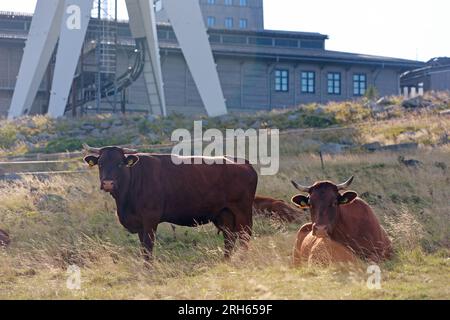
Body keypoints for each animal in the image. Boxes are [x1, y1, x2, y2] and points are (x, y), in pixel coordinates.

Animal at [83, 145, 256, 260]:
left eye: (120, 164)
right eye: (100, 164)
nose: (108, 183)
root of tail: (243, 162)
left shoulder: (150, 219)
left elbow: (148, 247)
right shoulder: (139, 224)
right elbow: (142, 247)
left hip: (242, 211)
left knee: (244, 236)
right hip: (224, 213)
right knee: (229, 238)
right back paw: (225, 260)